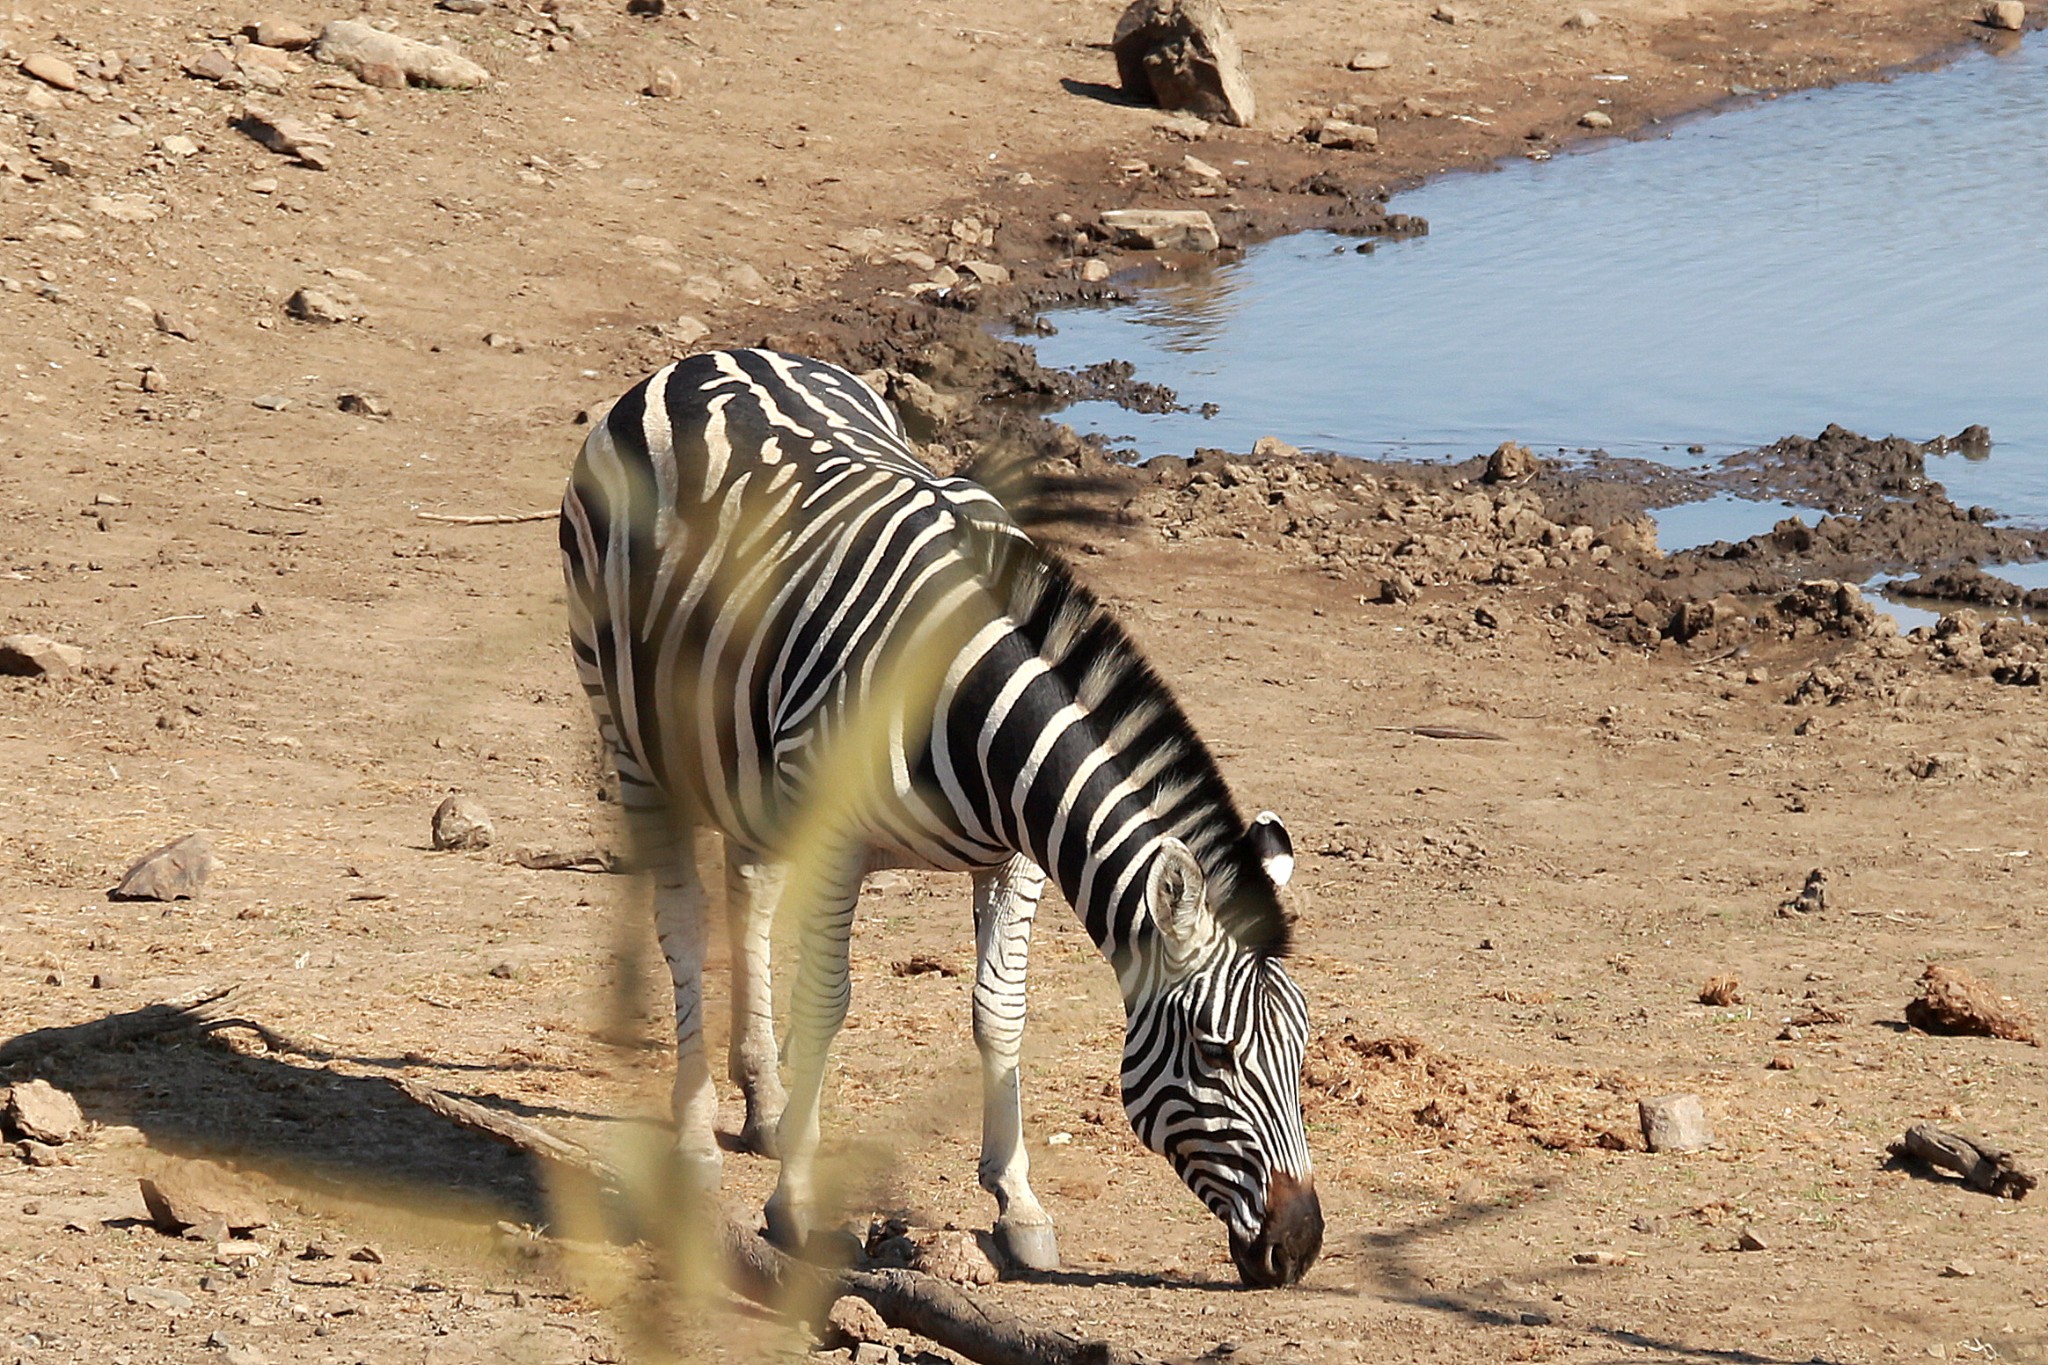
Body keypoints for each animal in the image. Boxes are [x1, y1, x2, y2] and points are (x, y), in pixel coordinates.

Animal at [561, 347, 1327, 1285]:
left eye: (1303, 1052)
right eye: (1216, 1055)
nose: (1300, 1246)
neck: (965, 694)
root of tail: (705, 357)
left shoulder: (1014, 858)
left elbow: (1000, 1011)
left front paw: (1019, 1203)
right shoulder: (838, 838)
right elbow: (828, 1001)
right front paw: (795, 1205)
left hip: (746, 758)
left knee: (750, 891)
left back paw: (765, 1103)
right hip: (629, 734)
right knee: (681, 920)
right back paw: (697, 1132)